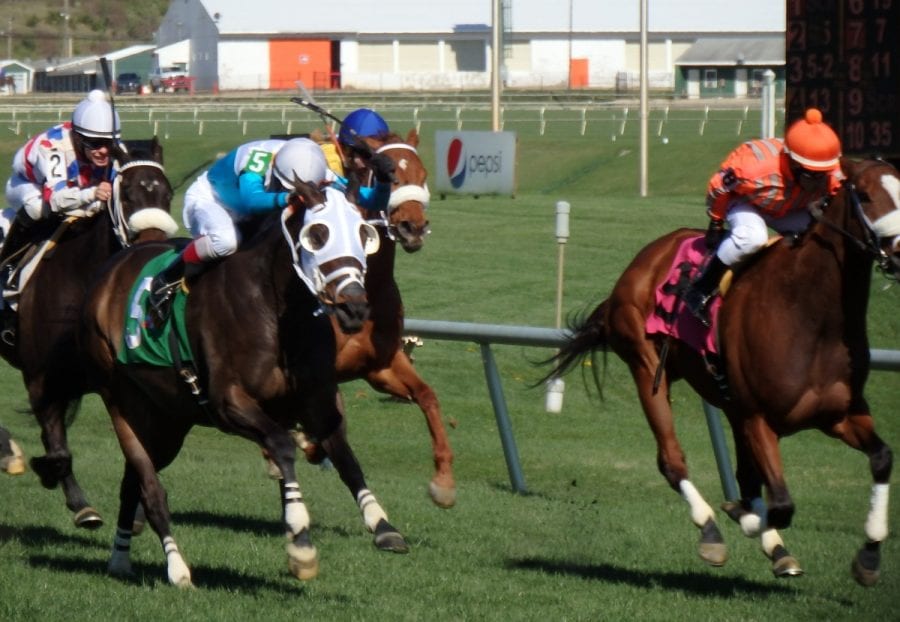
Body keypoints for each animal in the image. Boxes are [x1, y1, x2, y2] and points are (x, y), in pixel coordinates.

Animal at [0, 139, 177, 528]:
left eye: (168, 193)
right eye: (128, 193)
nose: (154, 243)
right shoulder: (40, 380)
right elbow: (57, 450)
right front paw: (78, 502)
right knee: (33, 205)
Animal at [80, 188, 404, 588]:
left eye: (364, 234)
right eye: (317, 234)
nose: (354, 307)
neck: (275, 309)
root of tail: (110, 272)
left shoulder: (313, 401)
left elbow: (344, 457)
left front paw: (382, 525)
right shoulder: (228, 403)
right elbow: (282, 446)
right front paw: (301, 540)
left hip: (168, 422)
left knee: (132, 483)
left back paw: (120, 558)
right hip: (122, 402)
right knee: (151, 489)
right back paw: (177, 569)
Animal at [544, 158, 896, 588]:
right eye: (864, 194)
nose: (899, 251)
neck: (811, 315)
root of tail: (641, 261)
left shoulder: (838, 415)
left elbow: (882, 458)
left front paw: (869, 555)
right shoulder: (758, 418)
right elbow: (780, 504)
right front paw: (742, 517)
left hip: (727, 401)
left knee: (744, 475)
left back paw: (776, 548)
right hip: (647, 368)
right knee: (671, 460)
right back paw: (712, 529)